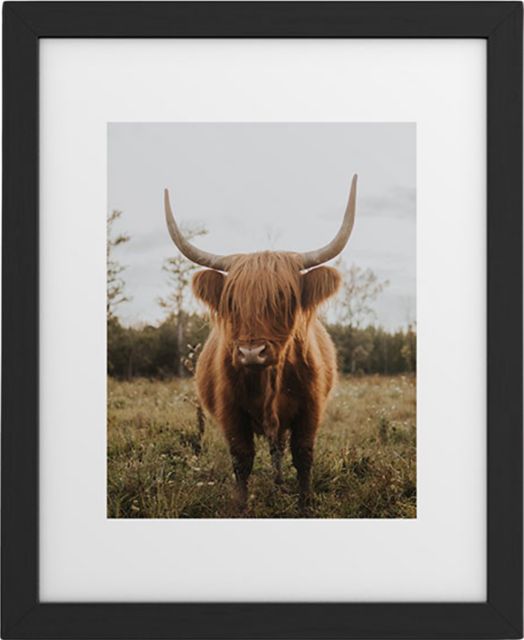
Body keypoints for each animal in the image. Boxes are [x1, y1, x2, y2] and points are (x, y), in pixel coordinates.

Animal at [164, 175, 357, 511]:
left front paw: (305, 504)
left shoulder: (311, 409)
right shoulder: (230, 412)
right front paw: (241, 507)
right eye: (232, 302)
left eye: (283, 298)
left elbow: (303, 454)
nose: (251, 353)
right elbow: (242, 459)